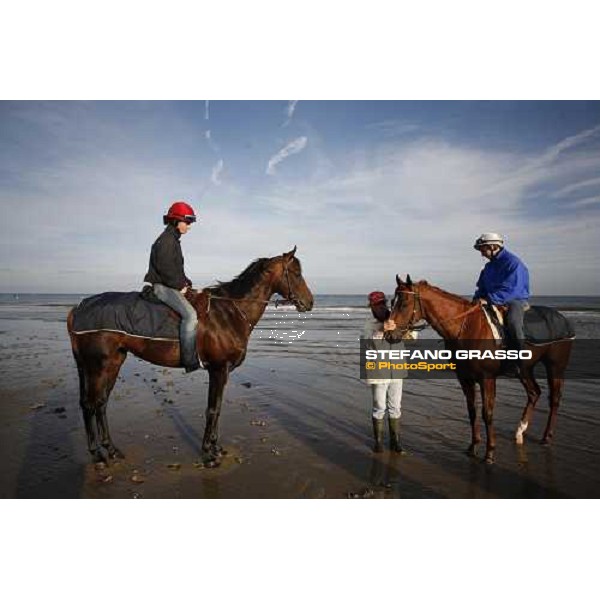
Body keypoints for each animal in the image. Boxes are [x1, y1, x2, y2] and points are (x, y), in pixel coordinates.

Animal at [67, 248, 314, 468]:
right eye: (296, 273)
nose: (310, 302)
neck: (229, 312)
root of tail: (78, 308)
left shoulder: (222, 372)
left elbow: (217, 408)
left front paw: (216, 448)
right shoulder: (218, 369)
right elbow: (212, 409)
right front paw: (209, 455)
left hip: (113, 363)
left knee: (101, 403)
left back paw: (111, 450)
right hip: (97, 366)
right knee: (89, 404)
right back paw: (97, 456)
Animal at [386, 276, 576, 464]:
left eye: (404, 303)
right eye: (392, 302)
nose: (389, 334)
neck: (466, 327)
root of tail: (562, 319)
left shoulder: (487, 378)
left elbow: (487, 413)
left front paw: (490, 451)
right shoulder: (465, 378)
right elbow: (472, 411)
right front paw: (473, 446)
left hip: (555, 366)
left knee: (554, 399)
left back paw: (546, 437)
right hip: (525, 370)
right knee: (534, 393)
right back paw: (520, 432)